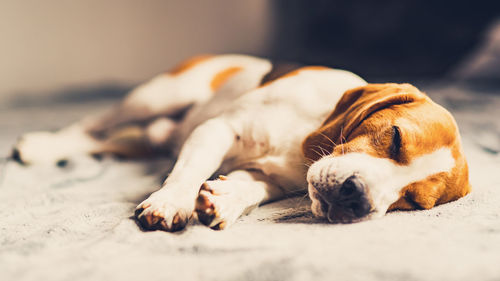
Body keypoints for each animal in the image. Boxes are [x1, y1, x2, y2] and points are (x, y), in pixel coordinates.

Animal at [9, 53, 366, 231]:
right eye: (383, 136)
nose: (359, 200)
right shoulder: (218, 129)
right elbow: (188, 172)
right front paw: (170, 202)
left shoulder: (270, 177)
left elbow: (249, 187)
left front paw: (224, 200)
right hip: (157, 97)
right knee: (93, 125)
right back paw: (44, 146)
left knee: (110, 141)